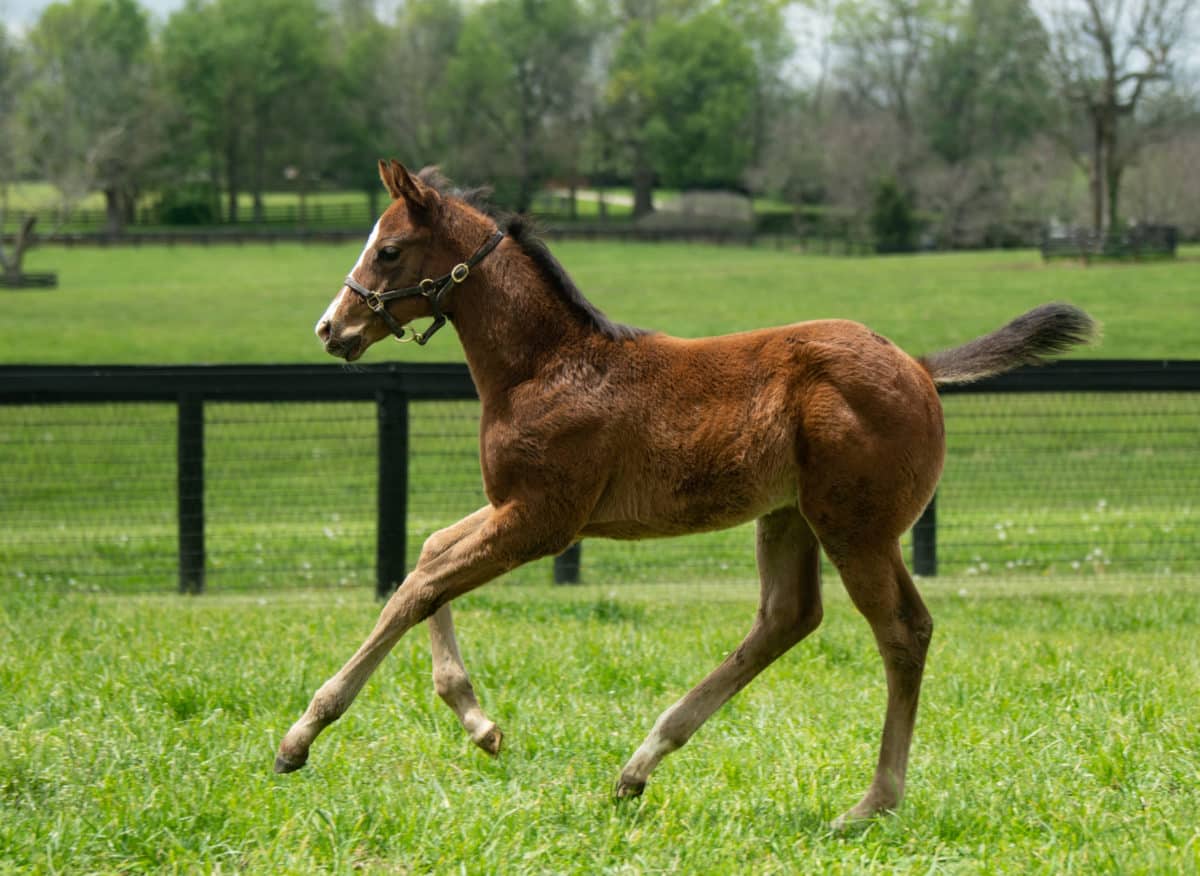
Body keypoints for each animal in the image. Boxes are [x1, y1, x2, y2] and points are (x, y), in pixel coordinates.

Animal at [278, 160, 1099, 820]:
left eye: (387, 249)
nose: (330, 328)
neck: (545, 365)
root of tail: (921, 369)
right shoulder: (519, 507)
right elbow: (428, 555)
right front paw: (479, 722)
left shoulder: (543, 519)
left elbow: (418, 586)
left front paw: (300, 736)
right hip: (789, 516)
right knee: (787, 618)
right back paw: (638, 767)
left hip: (855, 528)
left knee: (901, 631)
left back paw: (870, 804)